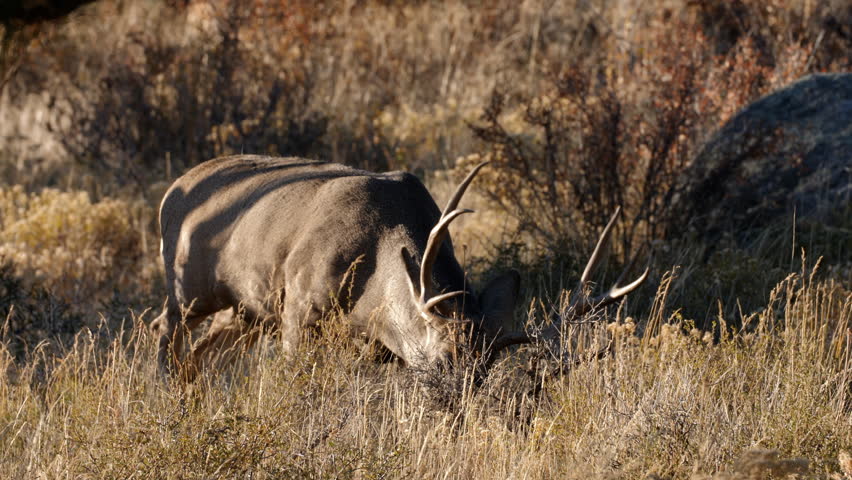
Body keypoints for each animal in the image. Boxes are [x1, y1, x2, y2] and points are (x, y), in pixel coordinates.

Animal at [149, 155, 647, 381]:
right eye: (444, 358)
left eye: (485, 367)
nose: (458, 408)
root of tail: (173, 189)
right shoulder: (298, 308)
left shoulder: (375, 349)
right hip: (190, 286)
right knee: (165, 330)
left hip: (248, 311)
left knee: (202, 352)